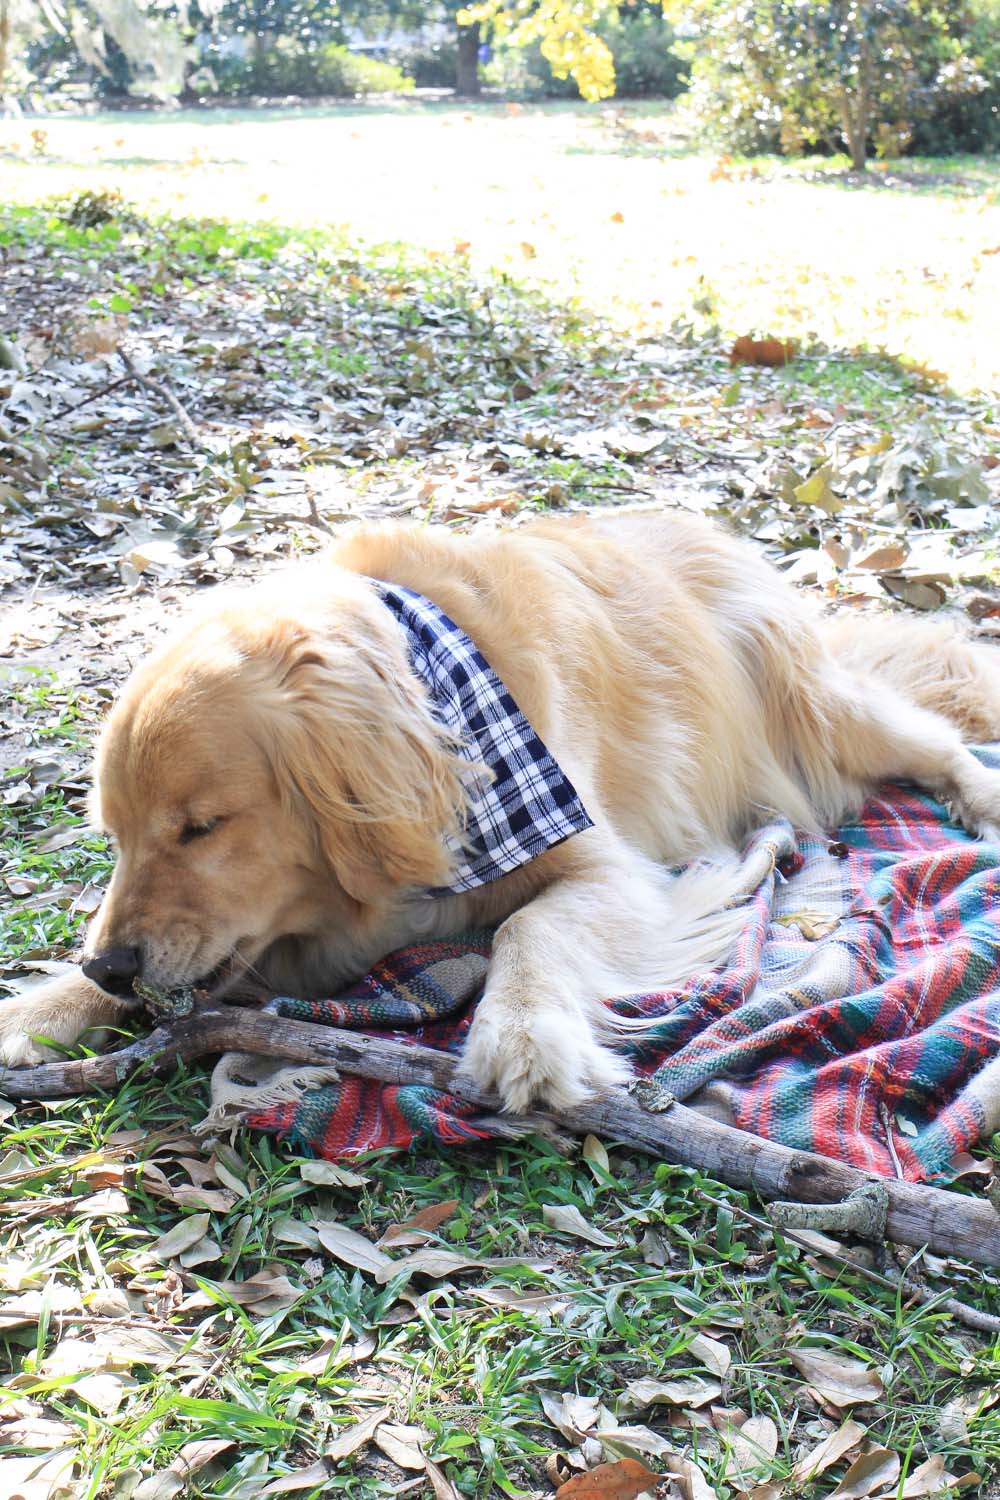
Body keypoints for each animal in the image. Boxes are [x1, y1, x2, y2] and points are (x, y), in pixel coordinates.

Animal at [1, 516, 1000, 1116]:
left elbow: (530, 926)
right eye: (116, 835)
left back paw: (979, 798)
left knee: (932, 736)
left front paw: (524, 1033)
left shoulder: (612, 867)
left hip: (815, 709)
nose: (111, 965)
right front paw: (41, 1006)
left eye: (201, 827)